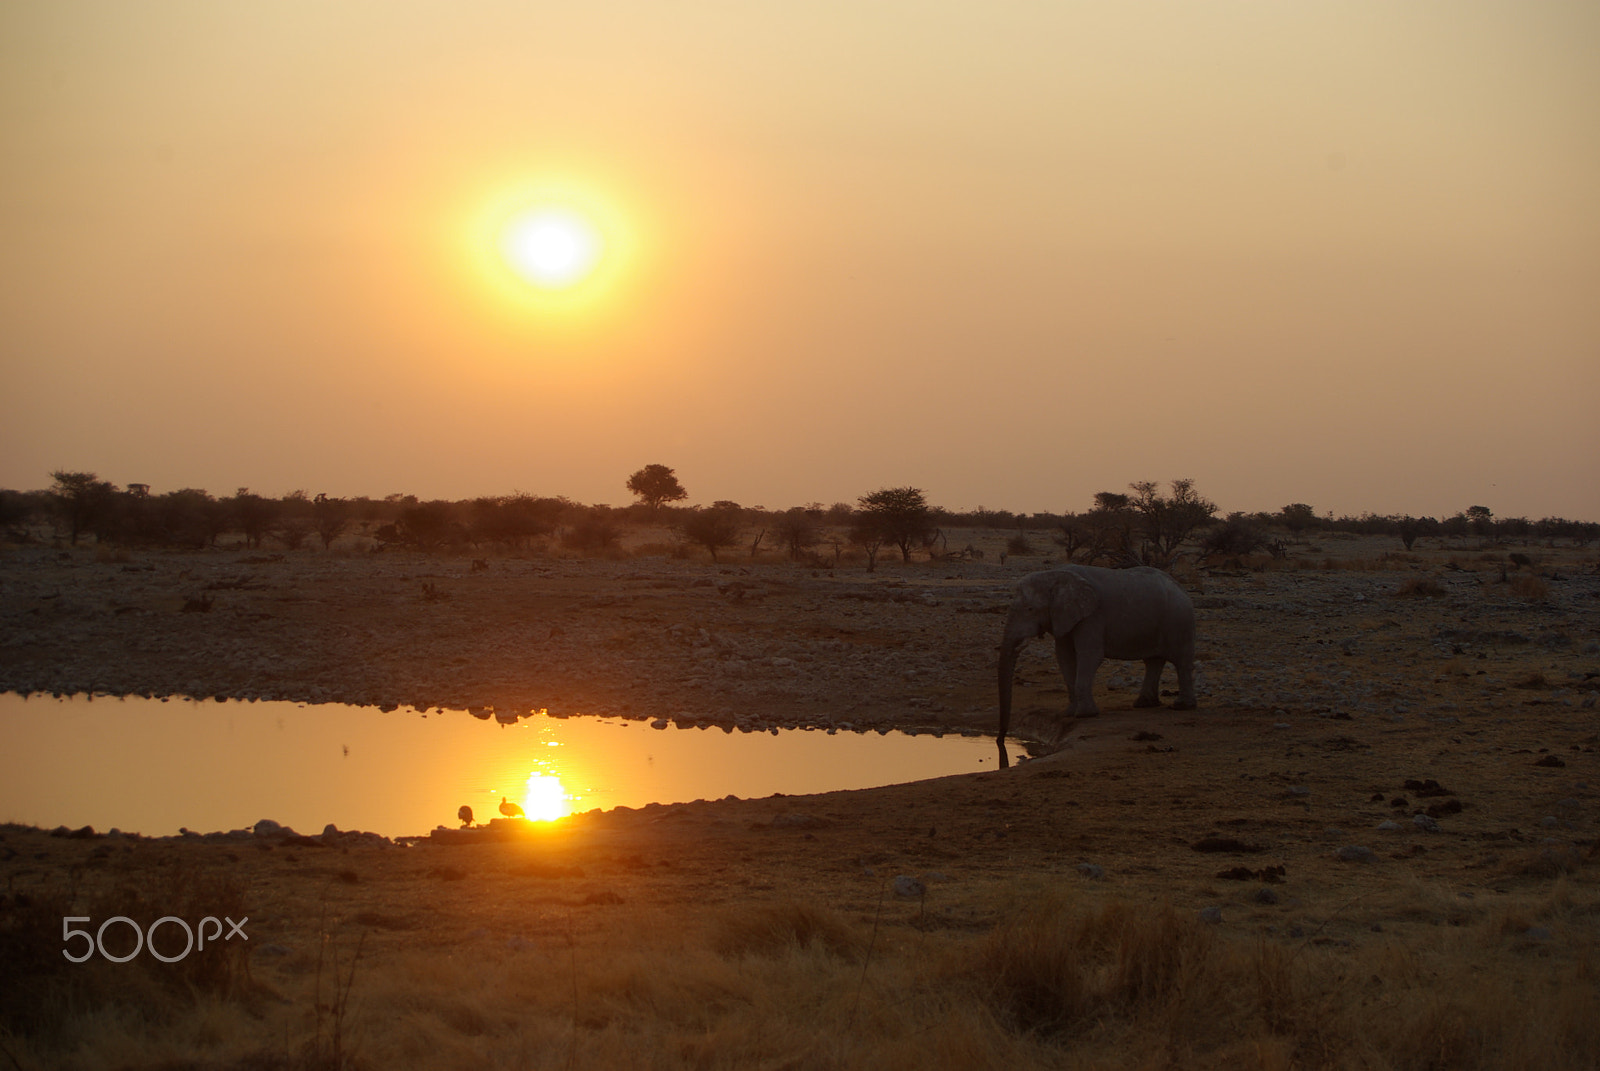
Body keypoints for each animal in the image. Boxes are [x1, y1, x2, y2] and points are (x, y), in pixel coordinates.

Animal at [992, 563, 1196, 765]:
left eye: (1030, 609)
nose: (1000, 740)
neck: (1056, 576)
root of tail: (1182, 589)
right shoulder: (1065, 617)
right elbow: (1064, 656)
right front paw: (1069, 713)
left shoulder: (1092, 616)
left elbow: (1089, 655)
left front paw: (1085, 714)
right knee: (1154, 661)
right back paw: (1144, 704)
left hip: (1179, 619)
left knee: (1181, 661)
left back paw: (1181, 706)